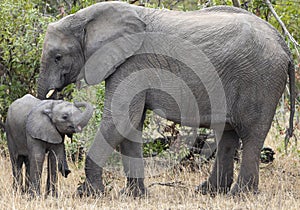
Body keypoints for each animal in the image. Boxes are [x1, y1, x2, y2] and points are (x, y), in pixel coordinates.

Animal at [37, 1, 296, 196]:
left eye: (58, 57)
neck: (86, 18)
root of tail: (285, 46)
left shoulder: (132, 64)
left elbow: (120, 119)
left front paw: (88, 194)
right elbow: (131, 124)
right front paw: (133, 196)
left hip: (260, 79)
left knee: (251, 135)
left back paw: (239, 195)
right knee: (228, 134)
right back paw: (208, 192)